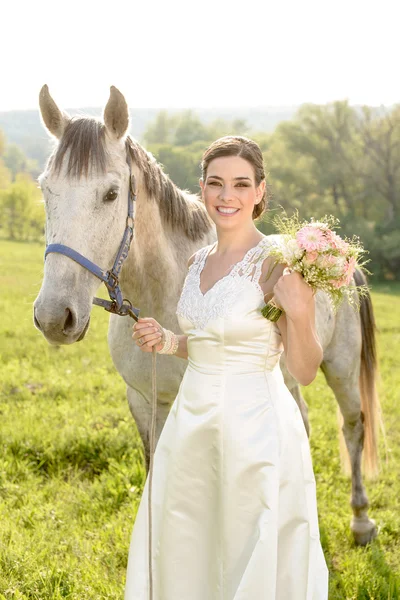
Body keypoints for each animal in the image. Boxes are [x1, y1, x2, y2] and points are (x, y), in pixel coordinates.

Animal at [34, 85, 382, 548]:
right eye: (46, 190)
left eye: (110, 194)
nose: (54, 316)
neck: (163, 291)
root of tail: (340, 256)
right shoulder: (144, 401)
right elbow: (156, 467)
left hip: (341, 367)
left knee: (353, 427)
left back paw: (361, 521)